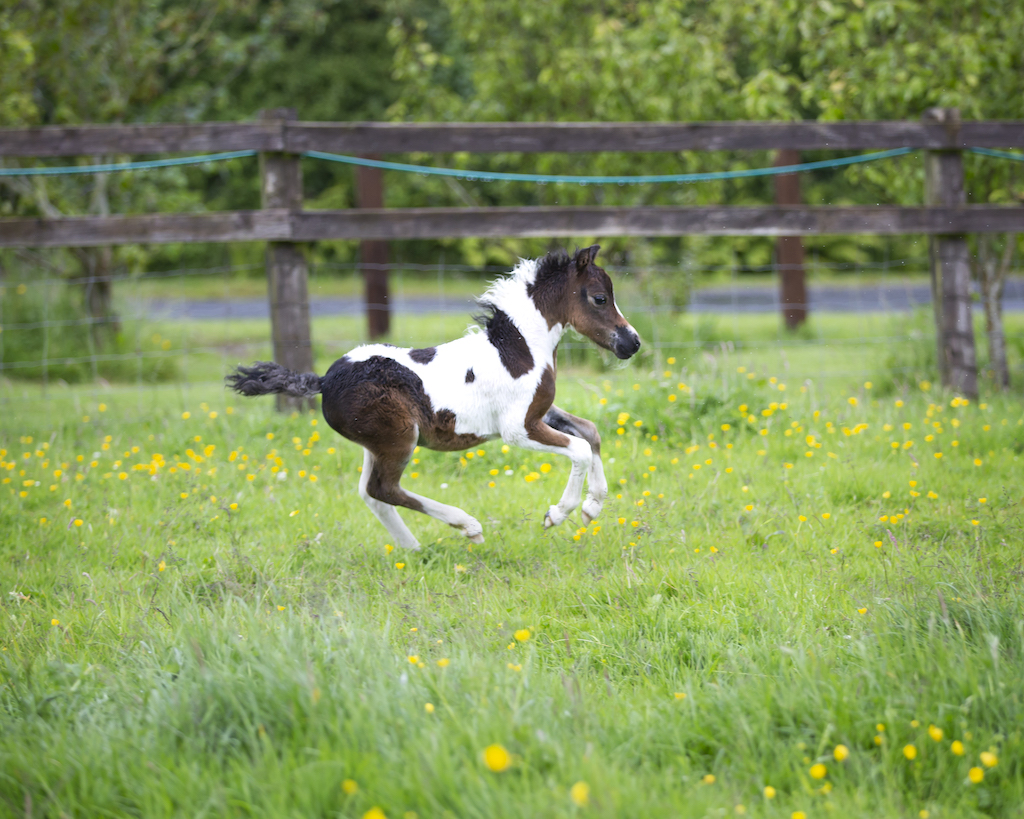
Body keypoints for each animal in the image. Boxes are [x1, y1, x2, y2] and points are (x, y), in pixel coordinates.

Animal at [226, 245, 641, 551]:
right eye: (600, 298)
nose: (632, 343)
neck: (520, 350)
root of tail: (324, 380)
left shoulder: (542, 412)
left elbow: (590, 432)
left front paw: (592, 507)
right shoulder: (518, 428)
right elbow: (579, 449)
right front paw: (558, 513)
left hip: (376, 444)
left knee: (370, 494)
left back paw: (413, 550)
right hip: (398, 439)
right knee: (383, 489)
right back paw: (467, 526)